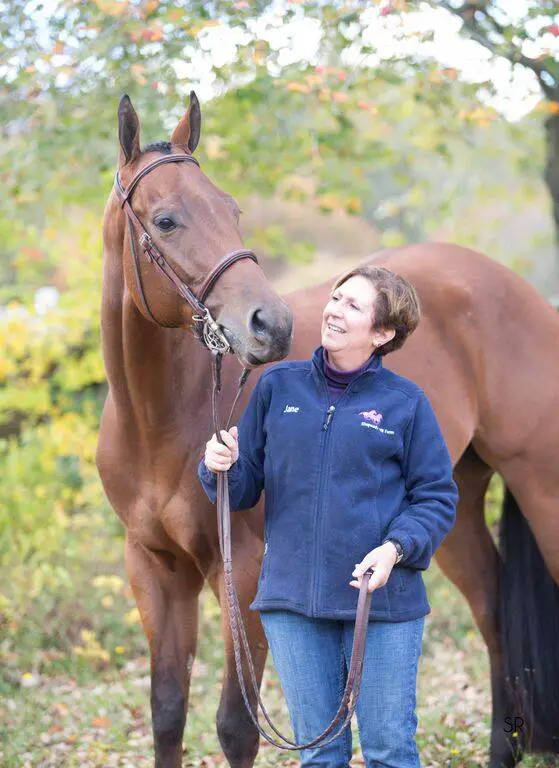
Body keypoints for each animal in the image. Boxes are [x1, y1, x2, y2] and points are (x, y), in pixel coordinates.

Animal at [97, 93, 559, 764]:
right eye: (165, 220)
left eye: (231, 209)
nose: (270, 323)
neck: (159, 420)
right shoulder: (153, 568)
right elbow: (167, 712)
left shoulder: (246, 571)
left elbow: (236, 726)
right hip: (450, 506)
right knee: (494, 608)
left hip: (542, 485)